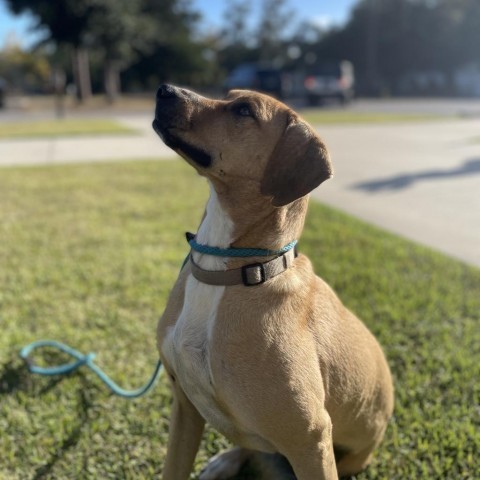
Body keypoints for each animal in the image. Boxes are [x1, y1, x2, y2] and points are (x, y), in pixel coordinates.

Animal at [154, 84, 394, 478]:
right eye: (228, 96)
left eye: (244, 111)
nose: (164, 89)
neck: (231, 271)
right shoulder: (185, 407)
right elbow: (174, 468)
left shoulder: (311, 438)